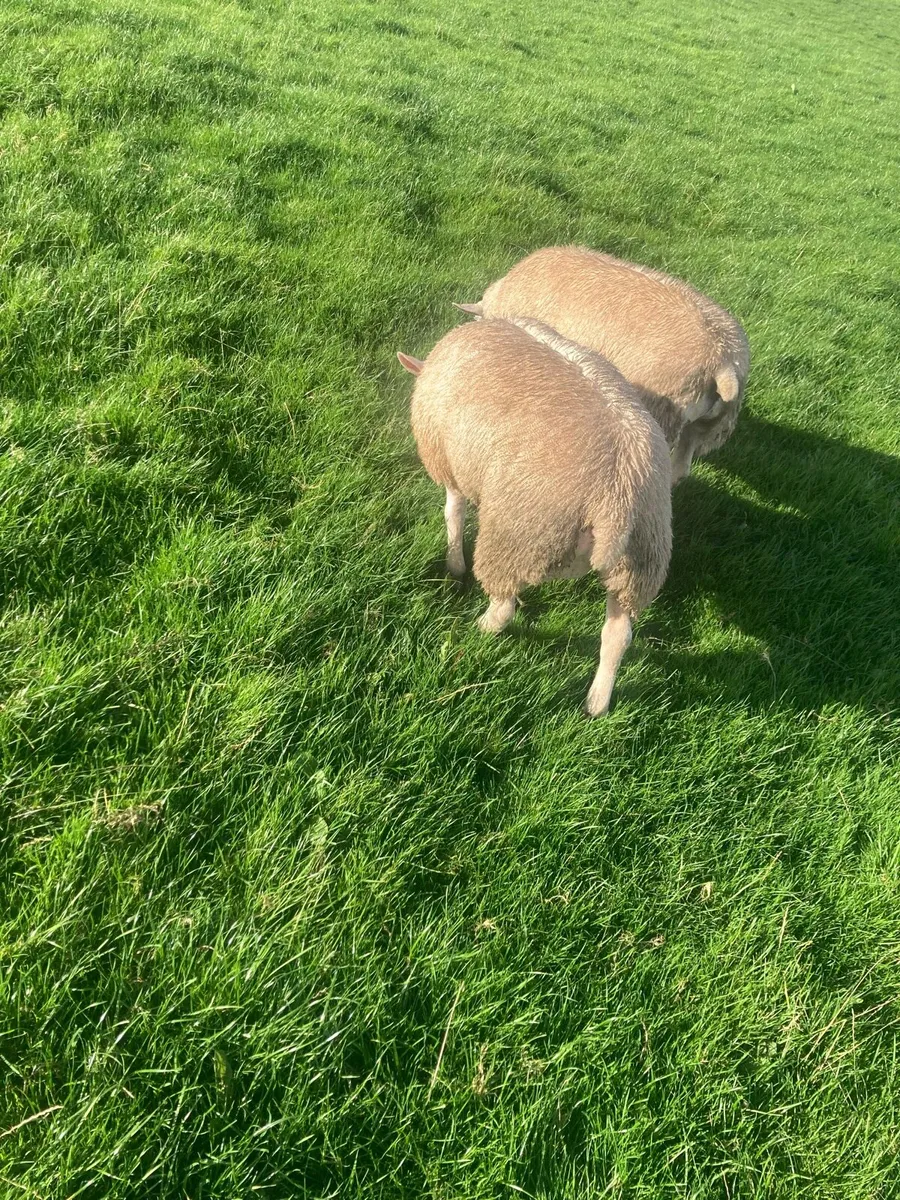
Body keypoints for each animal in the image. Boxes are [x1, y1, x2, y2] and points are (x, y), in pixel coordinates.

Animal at [397, 316, 672, 716]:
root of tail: (617, 498)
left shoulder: (452, 465)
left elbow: (453, 511)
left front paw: (454, 563)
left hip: (519, 536)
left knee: (505, 607)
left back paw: (480, 627)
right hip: (640, 562)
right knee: (617, 636)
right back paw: (596, 703)